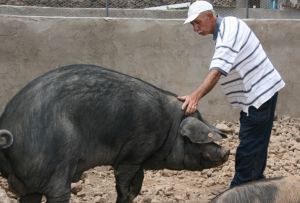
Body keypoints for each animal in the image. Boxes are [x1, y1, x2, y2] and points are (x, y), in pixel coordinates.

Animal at [0, 64, 230, 202]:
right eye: (199, 140)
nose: (226, 152)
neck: (170, 126)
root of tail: (11, 131)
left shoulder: (139, 159)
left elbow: (137, 183)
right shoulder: (133, 152)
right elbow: (123, 182)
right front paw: (125, 196)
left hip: (31, 182)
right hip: (55, 168)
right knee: (58, 193)